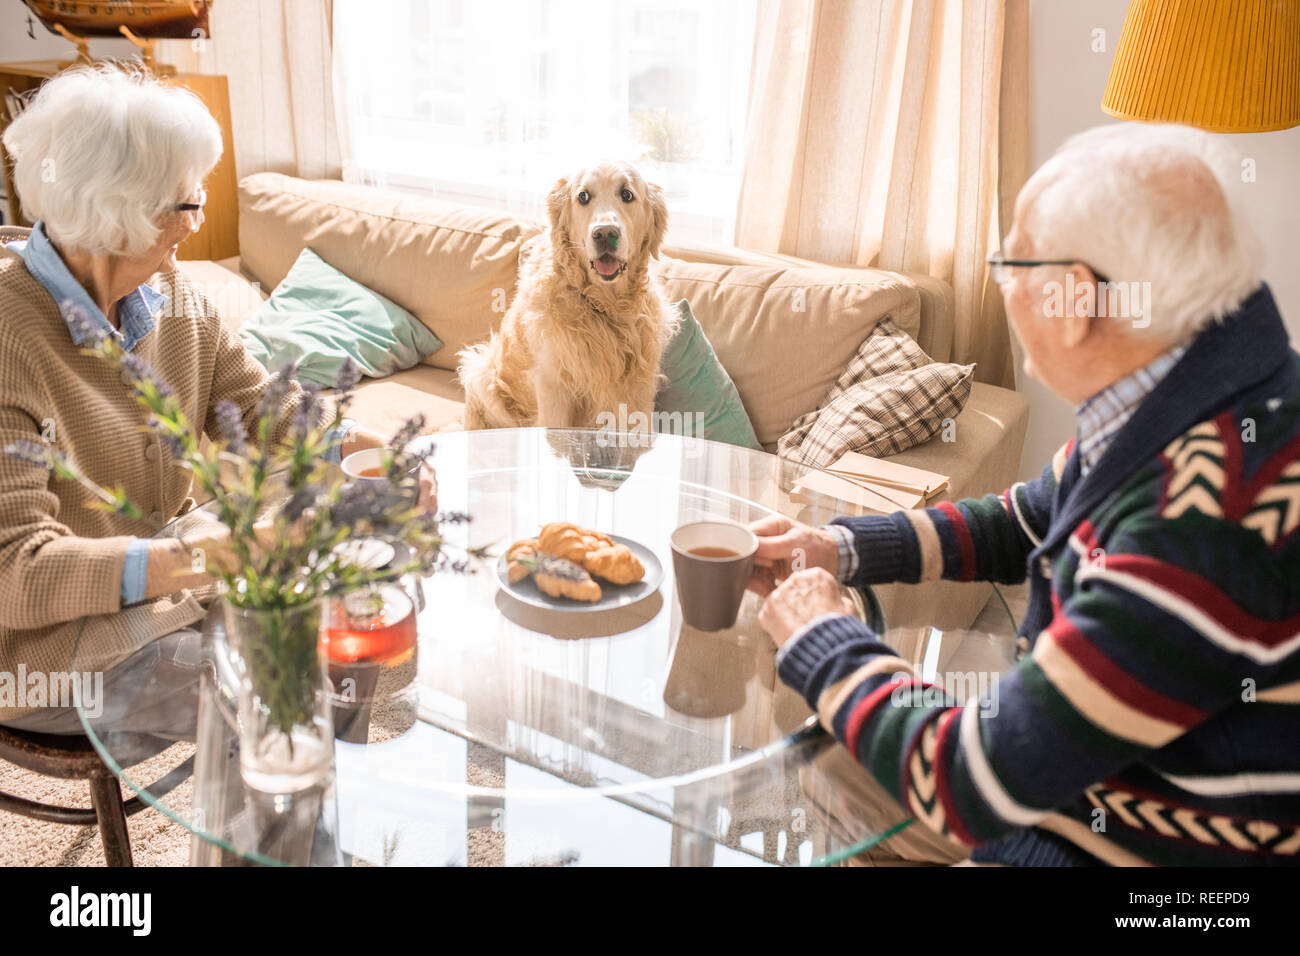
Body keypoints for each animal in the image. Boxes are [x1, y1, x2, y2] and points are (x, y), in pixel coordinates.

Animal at [460, 162, 681, 434]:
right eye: (583, 196)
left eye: (627, 194)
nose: (605, 233)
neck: (603, 305)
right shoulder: (554, 388)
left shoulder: (640, 389)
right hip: (482, 375)